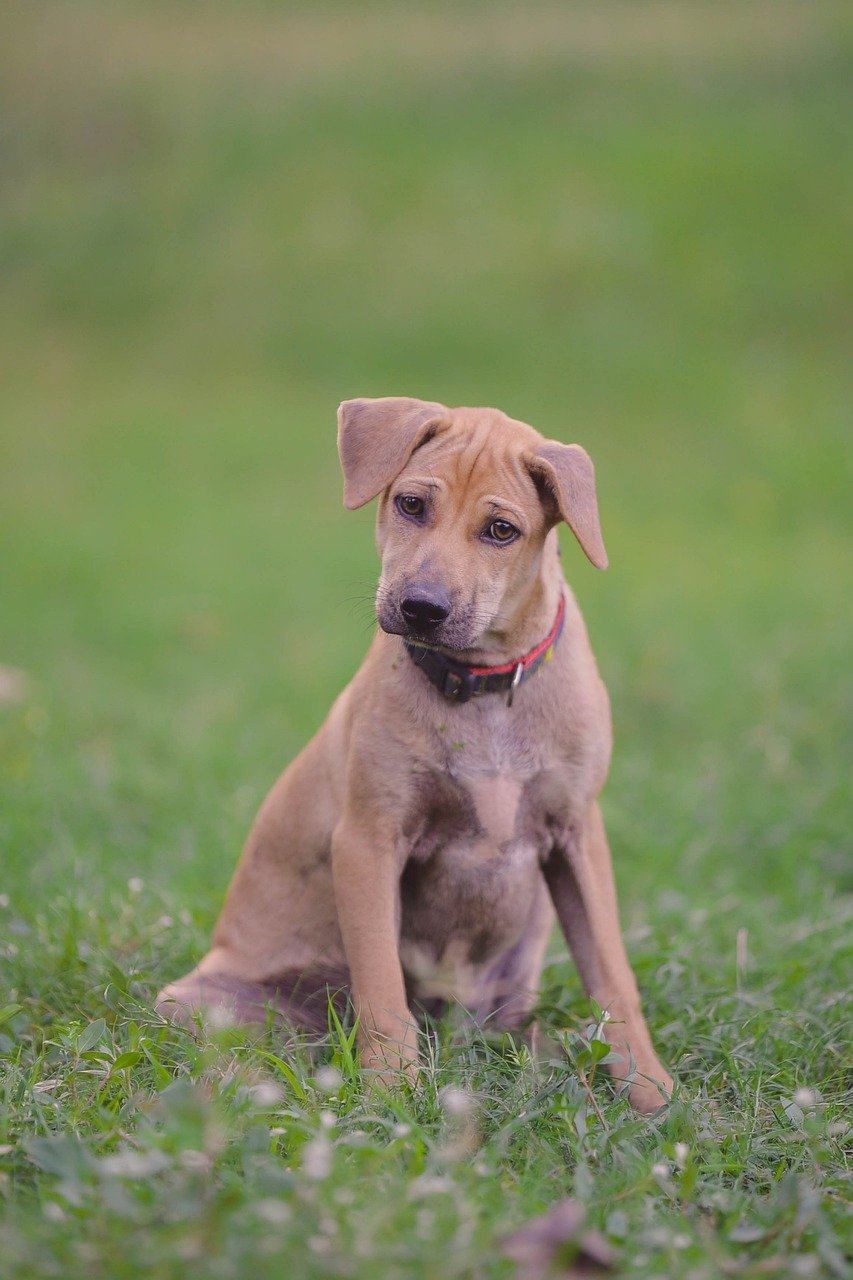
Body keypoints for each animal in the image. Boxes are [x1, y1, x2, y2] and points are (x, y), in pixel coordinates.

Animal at [157, 396, 671, 1111]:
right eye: (410, 504)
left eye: (501, 530)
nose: (421, 608)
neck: (483, 686)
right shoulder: (369, 839)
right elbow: (381, 987)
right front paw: (390, 1093)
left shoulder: (578, 835)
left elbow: (613, 973)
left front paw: (651, 1088)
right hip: (205, 1001)